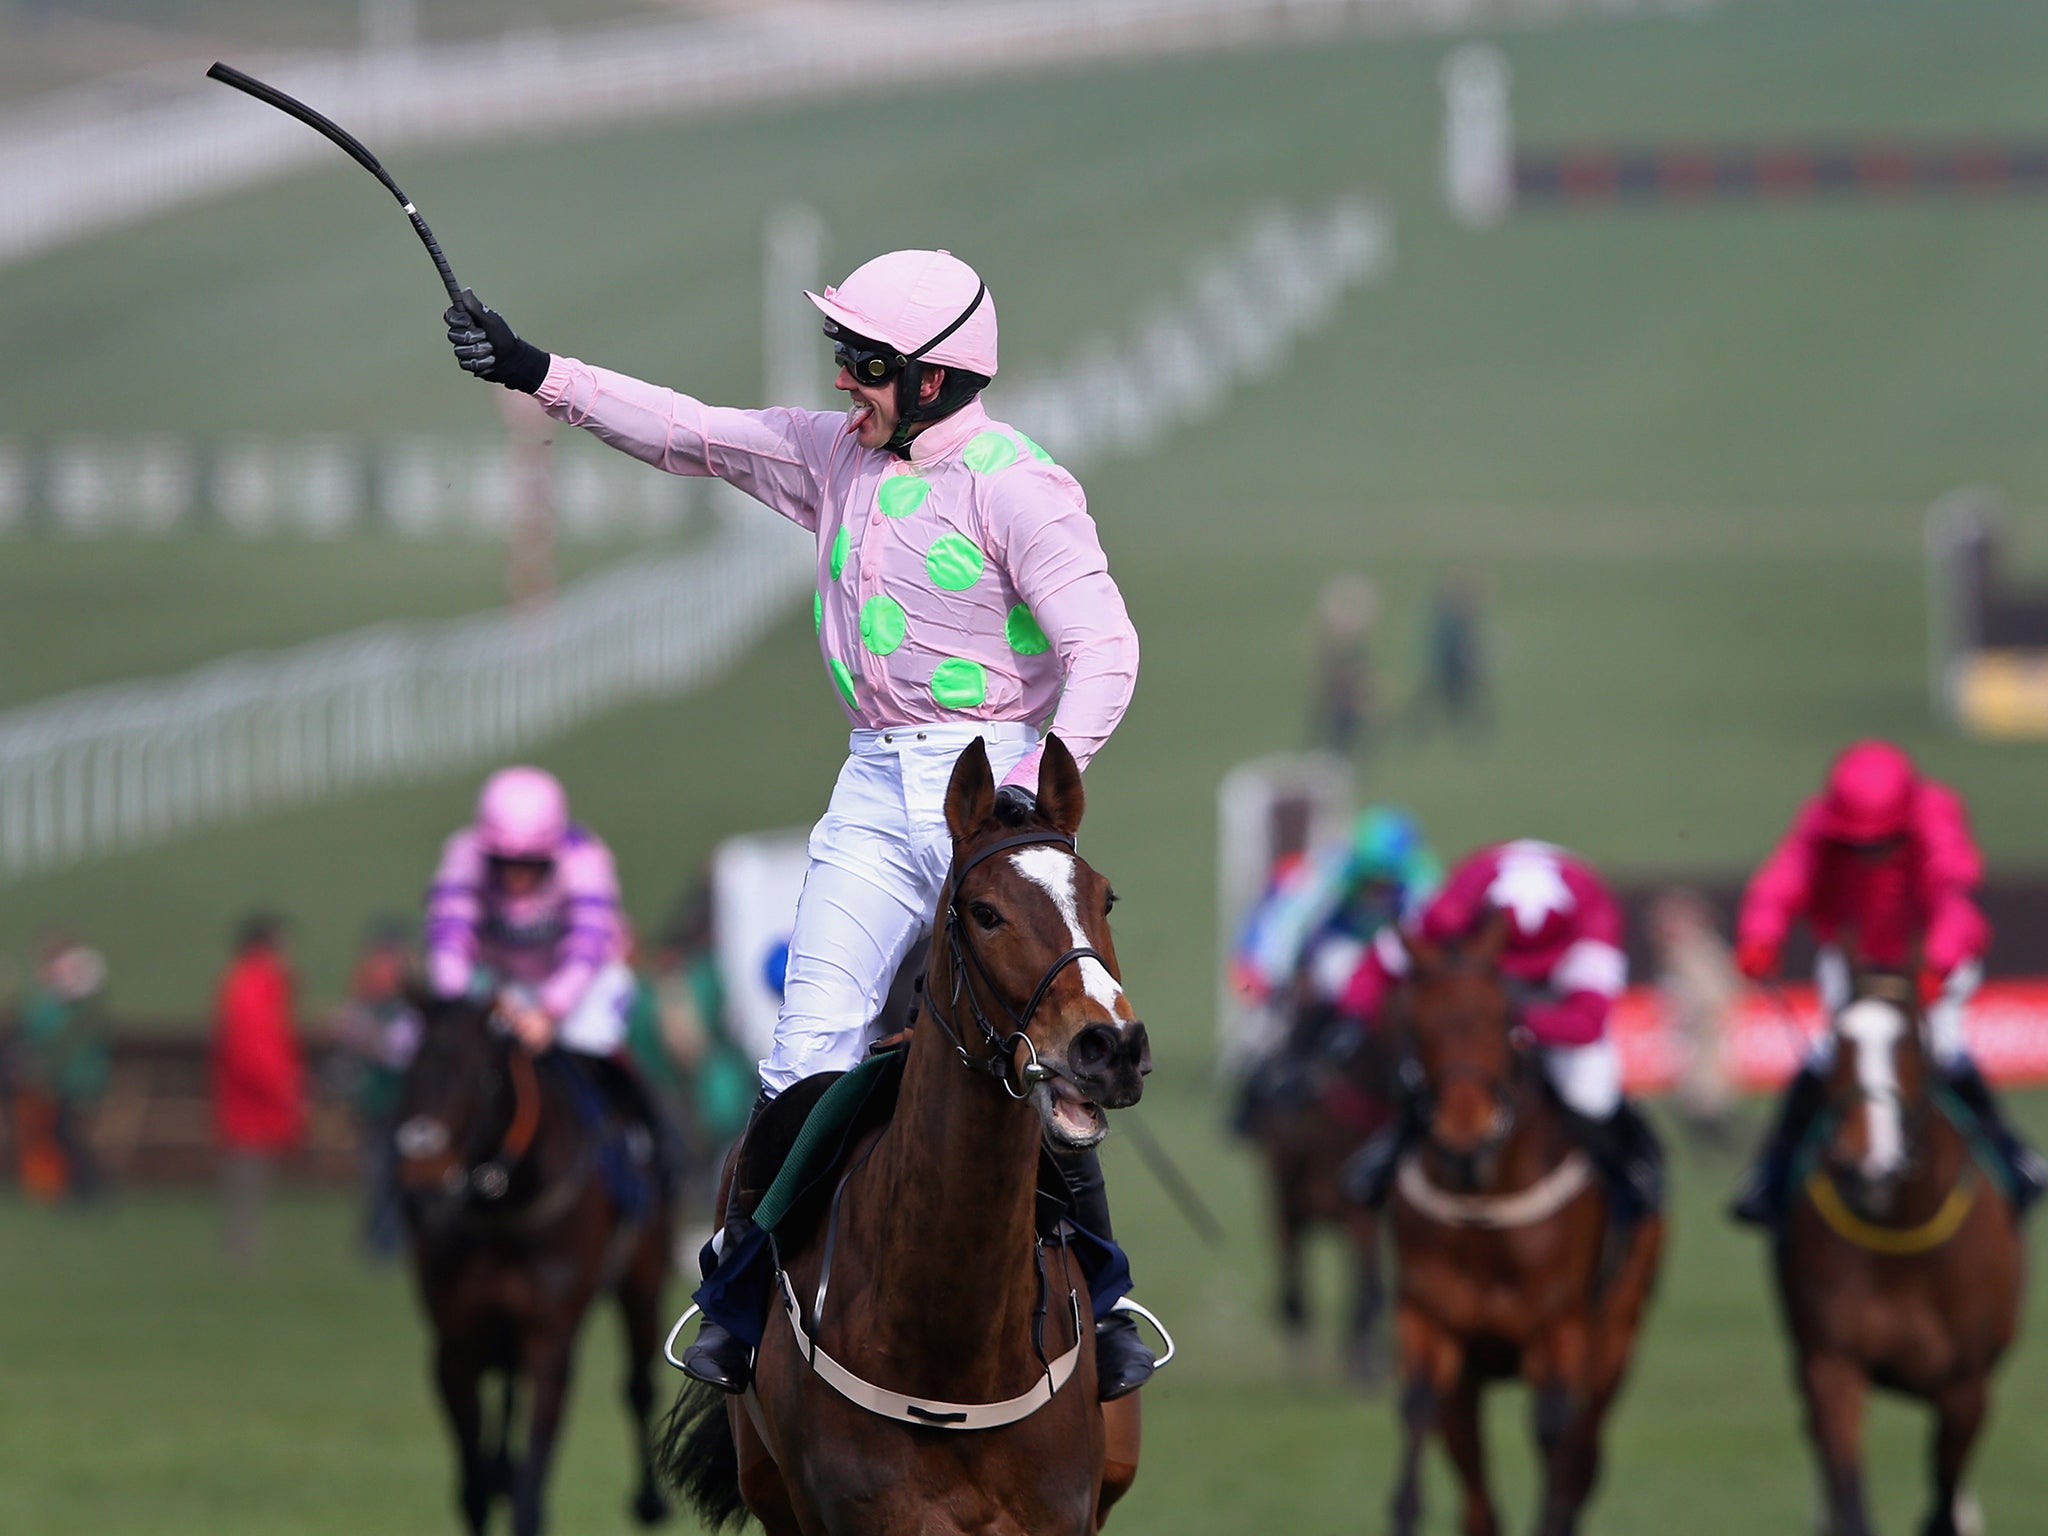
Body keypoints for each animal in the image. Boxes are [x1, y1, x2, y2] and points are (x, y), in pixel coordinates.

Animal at [387, 999, 667, 1536]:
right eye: (411, 1071)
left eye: (483, 1080)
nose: (421, 1195)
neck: (505, 1209)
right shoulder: (456, 1345)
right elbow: (474, 1492)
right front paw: (492, 1481)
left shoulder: (549, 1340)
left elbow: (529, 1498)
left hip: (642, 1283)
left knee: (639, 1385)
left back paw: (649, 1500)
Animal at [1376, 925, 1662, 1536]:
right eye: (1416, 1019)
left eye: (1499, 1013)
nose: (1463, 1130)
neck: (1483, 1201)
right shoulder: (1429, 1318)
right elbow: (1417, 1407)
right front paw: (1406, 1507)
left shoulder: (1557, 1329)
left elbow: (1553, 1430)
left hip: (1617, 1333)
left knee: (1584, 1447)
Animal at [1769, 987, 2023, 1536]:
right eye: (1838, 1044)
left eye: (1911, 1044)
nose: (1869, 1166)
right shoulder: (1832, 1362)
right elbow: (1848, 1493)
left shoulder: (1965, 1382)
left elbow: (1944, 1496)